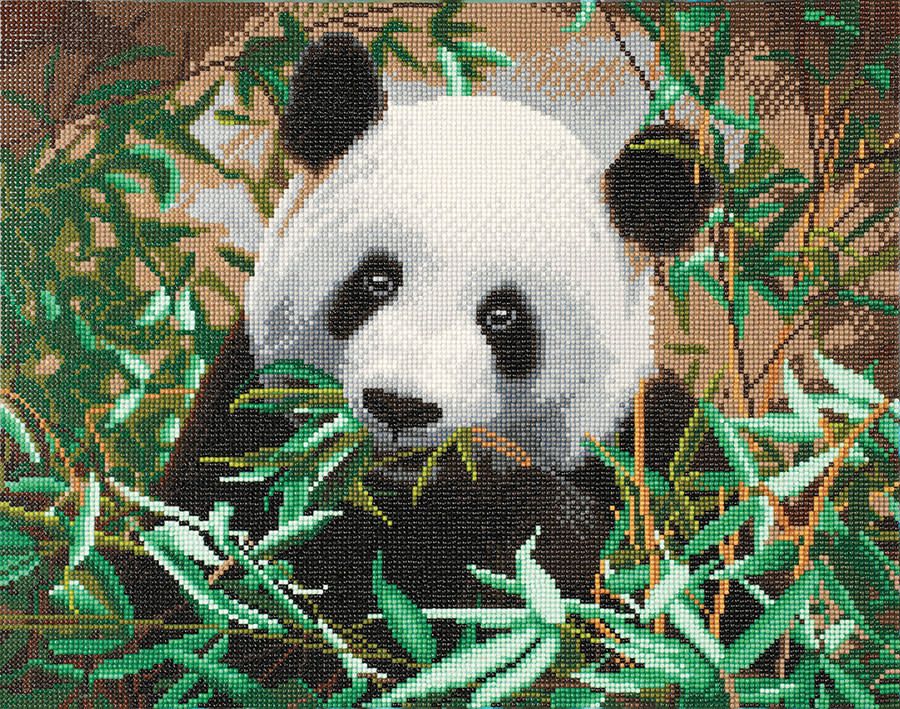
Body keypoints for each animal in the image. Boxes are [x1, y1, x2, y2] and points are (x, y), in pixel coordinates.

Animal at [161, 33, 722, 678]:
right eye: (377, 279)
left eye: (502, 315)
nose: (400, 406)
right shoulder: (246, 434)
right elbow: (206, 608)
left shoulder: (657, 452)